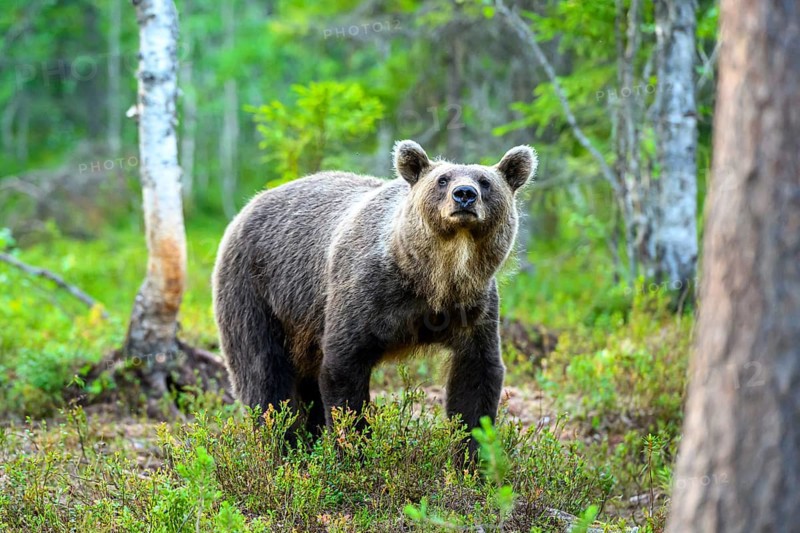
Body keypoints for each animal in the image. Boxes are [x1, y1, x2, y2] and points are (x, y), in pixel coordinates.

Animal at [212, 140, 537, 452]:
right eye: (442, 180)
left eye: (485, 181)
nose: (464, 195)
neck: (435, 278)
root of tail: (249, 205)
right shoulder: (365, 293)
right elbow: (344, 369)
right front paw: (354, 447)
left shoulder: (474, 308)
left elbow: (477, 377)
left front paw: (473, 454)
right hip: (256, 289)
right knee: (262, 372)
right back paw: (282, 444)